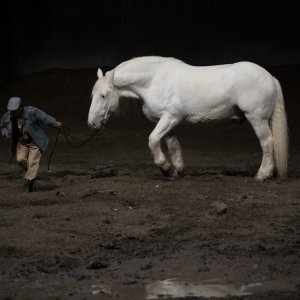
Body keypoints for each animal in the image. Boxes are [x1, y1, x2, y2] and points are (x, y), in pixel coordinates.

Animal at [88, 56, 288, 180]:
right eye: (92, 94)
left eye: (104, 95)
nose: (92, 123)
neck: (153, 80)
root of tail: (270, 77)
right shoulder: (167, 121)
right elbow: (172, 144)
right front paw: (177, 169)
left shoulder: (170, 117)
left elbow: (153, 140)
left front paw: (165, 167)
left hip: (257, 118)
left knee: (267, 143)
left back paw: (263, 174)